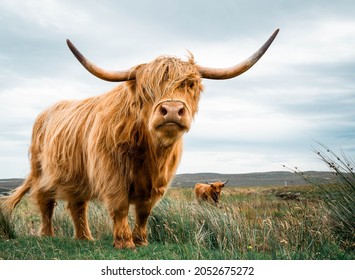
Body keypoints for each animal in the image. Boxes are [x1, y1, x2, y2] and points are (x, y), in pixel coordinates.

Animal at [3, 30, 280, 249]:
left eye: (190, 84)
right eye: (147, 89)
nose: (171, 110)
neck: (150, 151)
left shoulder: (157, 182)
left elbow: (144, 211)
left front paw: (141, 240)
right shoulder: (111, 173)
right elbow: (120, 206)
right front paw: (125, 242)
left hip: (76, 175)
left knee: (77, 205)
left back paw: (85, 238)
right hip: (41, 171)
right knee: (45, 201)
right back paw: (47, 235)